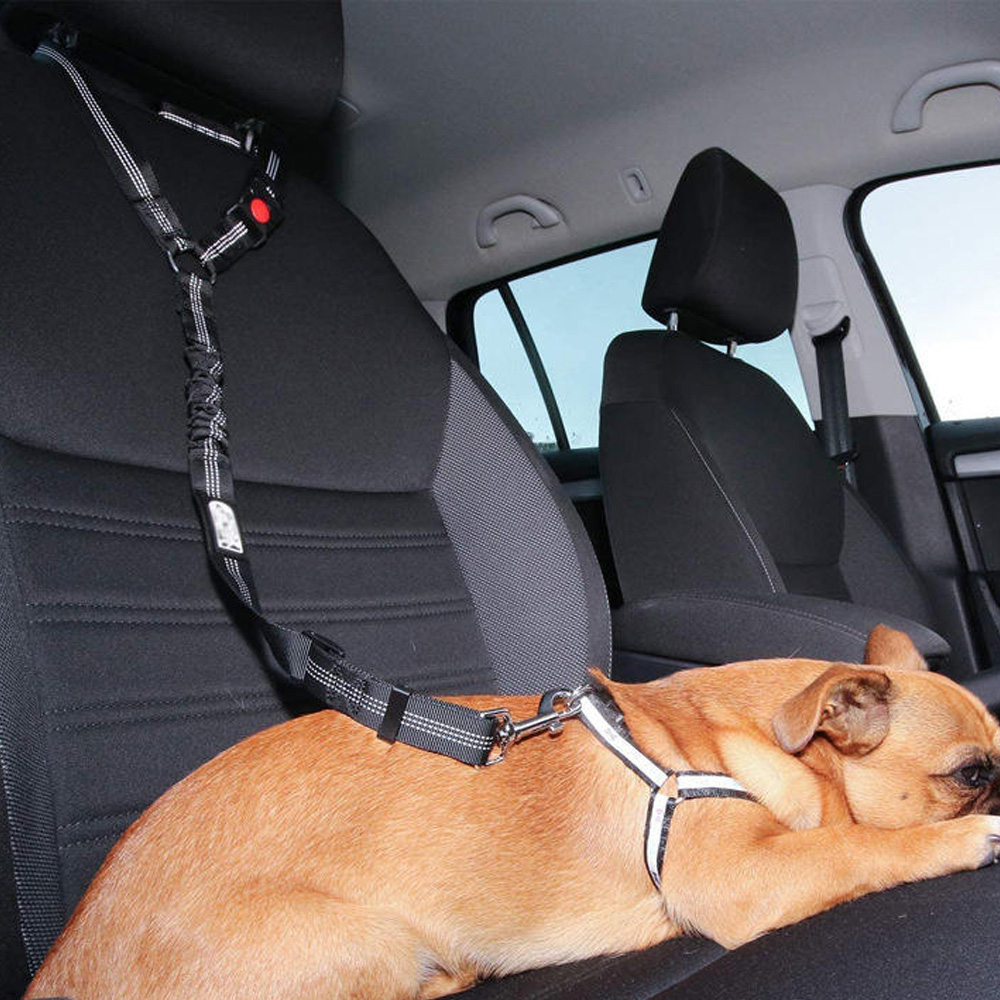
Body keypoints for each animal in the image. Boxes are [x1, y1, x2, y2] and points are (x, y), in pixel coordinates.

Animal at [26, 625, 1000, 1000]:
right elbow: (860, 850)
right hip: (361, 937)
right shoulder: (747, 876)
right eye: (971, 774)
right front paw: (963, 838)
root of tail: (63, 965)